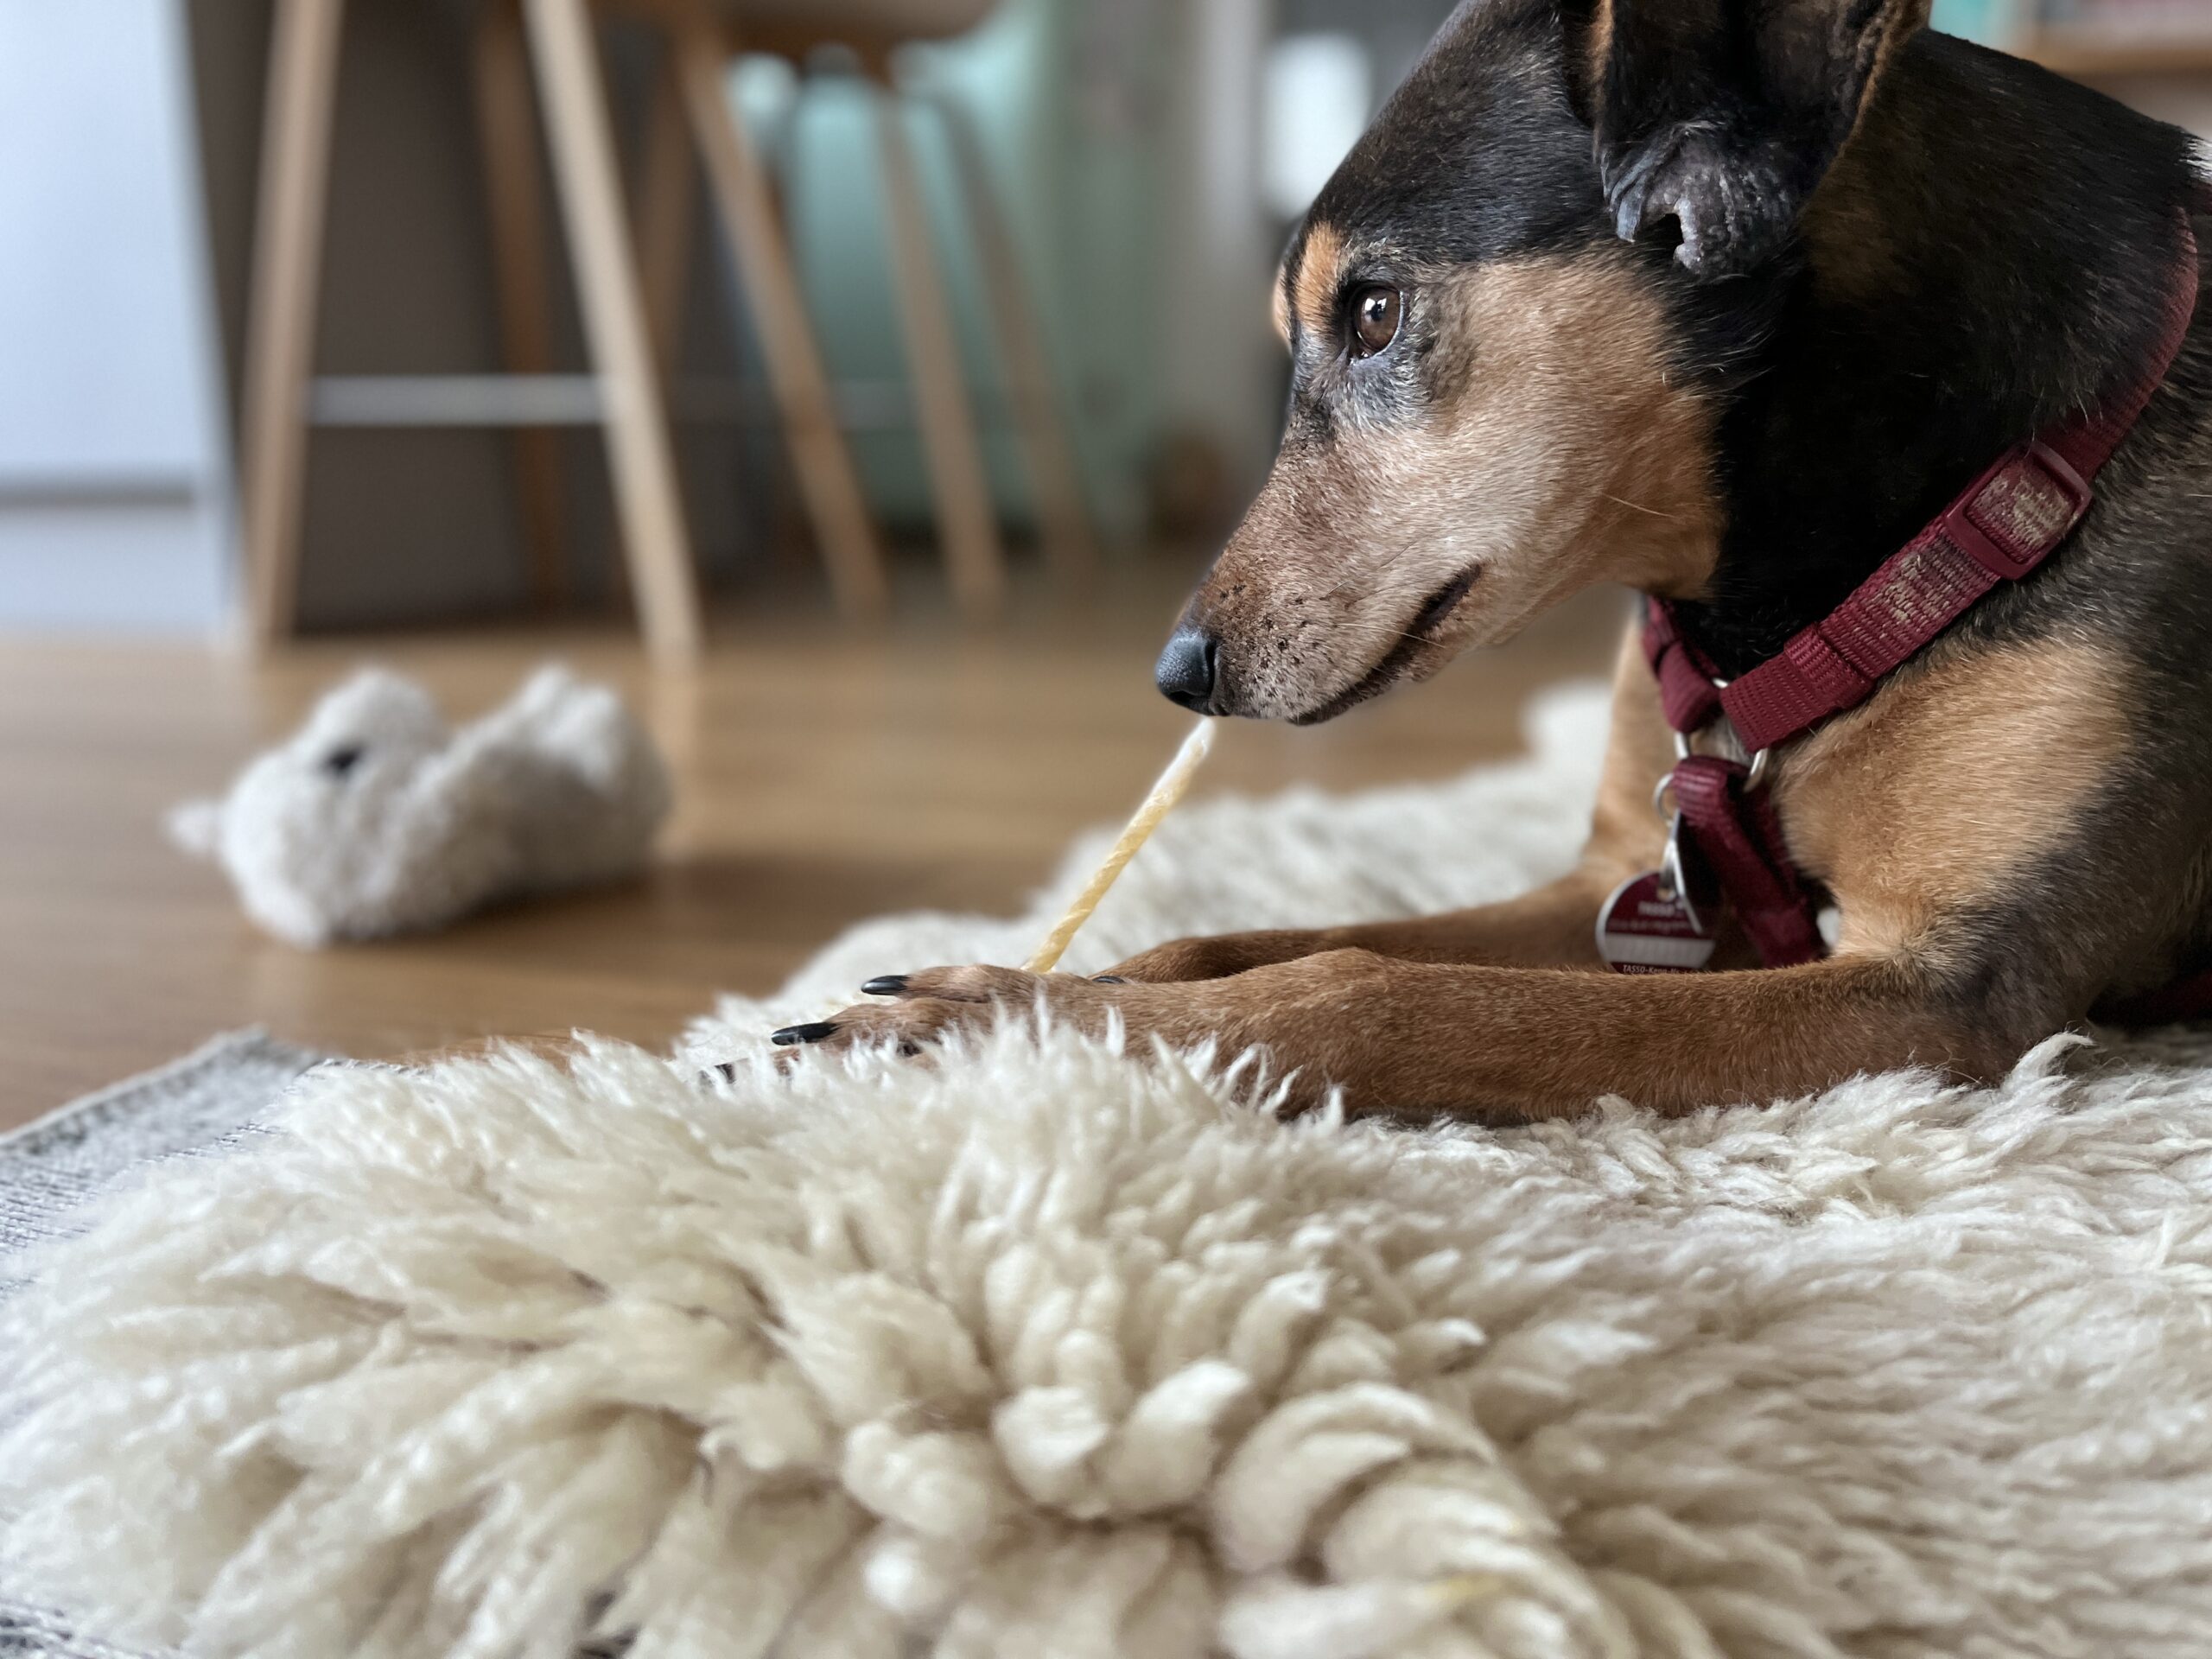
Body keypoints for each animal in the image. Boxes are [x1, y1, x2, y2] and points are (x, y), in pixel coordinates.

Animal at [779, 0, 2212, 1120]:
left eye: (1372, 311)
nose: (1180, 672)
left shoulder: (1942, 996)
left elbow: (1370, 993)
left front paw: (998, 1029)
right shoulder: (1620, 888)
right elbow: (1235, 939)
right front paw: (1036, 983)